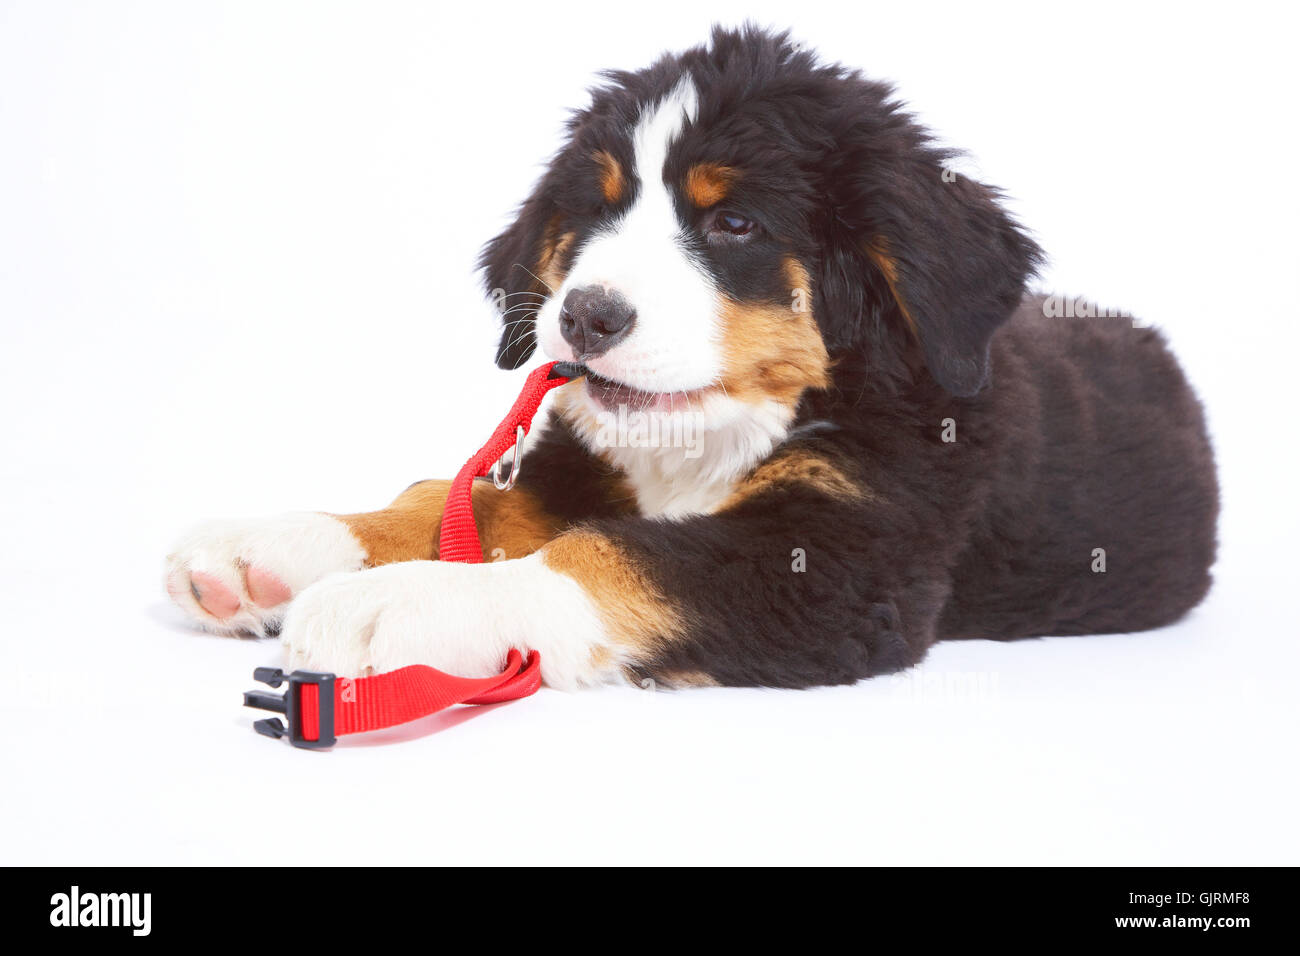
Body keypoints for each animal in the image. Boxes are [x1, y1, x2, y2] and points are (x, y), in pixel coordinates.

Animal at [162, 26, 1216, 691]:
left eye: (733, 222)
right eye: (593, 213)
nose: (584, 317)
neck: (708, 443)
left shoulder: (840, 562)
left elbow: (607, 558)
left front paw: (398, 606)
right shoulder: (580, 465)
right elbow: (455, 501)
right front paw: (271, 550)